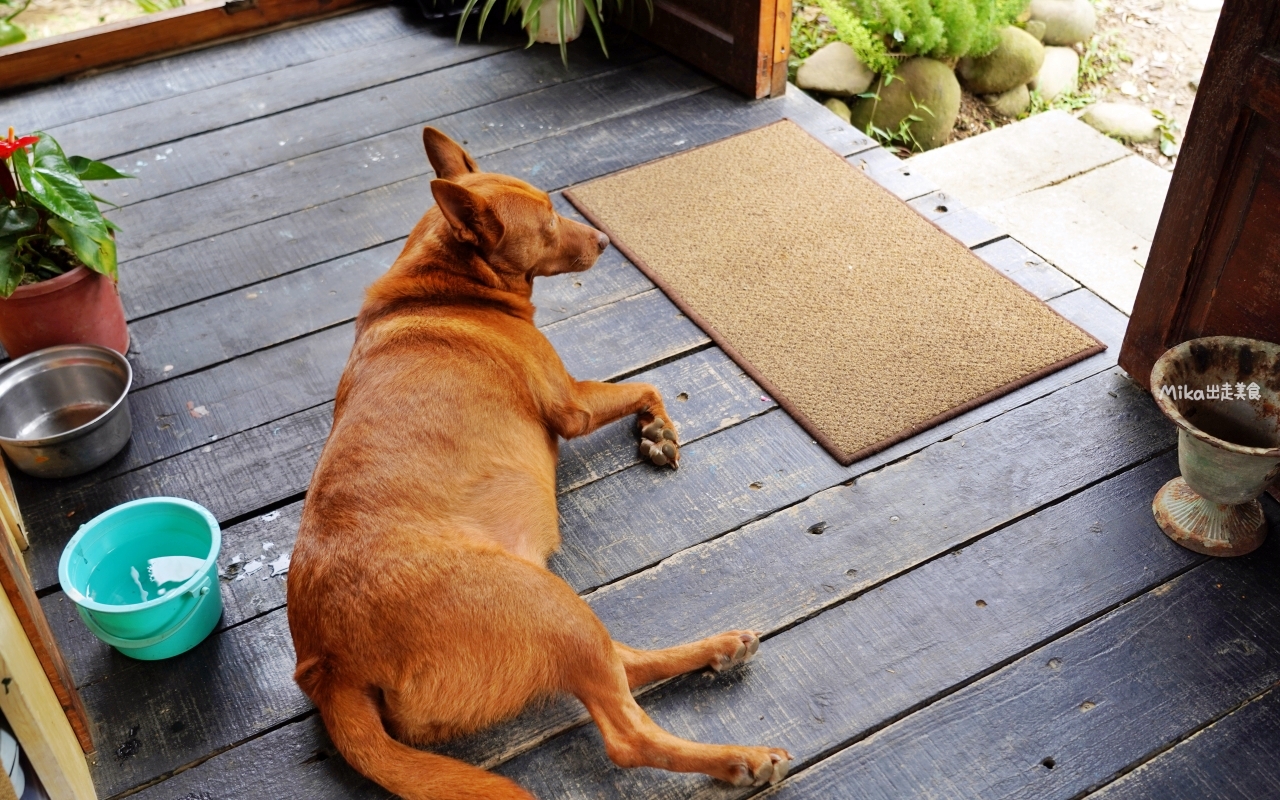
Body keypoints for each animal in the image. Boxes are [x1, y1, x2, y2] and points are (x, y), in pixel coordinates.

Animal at [289, 128, 788, 793]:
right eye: (549, 219)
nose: (604, 240)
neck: (446, 283)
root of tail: (326, 668)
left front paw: (655, 431)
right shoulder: (572, 402)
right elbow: (646, 383)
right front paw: (659, 430)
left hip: (556, 614)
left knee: (624, 663)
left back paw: (718, 649)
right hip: (546, 607)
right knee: (627, 734)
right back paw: (739, 759)